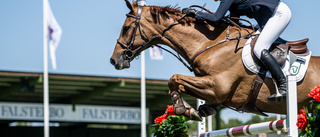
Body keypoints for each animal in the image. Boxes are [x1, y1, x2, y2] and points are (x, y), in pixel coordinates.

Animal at [110, 0, 320, 120]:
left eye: (126, 28)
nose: (114, 60)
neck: (210, 44)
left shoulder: (217, 87)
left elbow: (174, 79)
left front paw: (182, 109)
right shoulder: (211, 87)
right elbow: (180, 84)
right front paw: (196, 111)